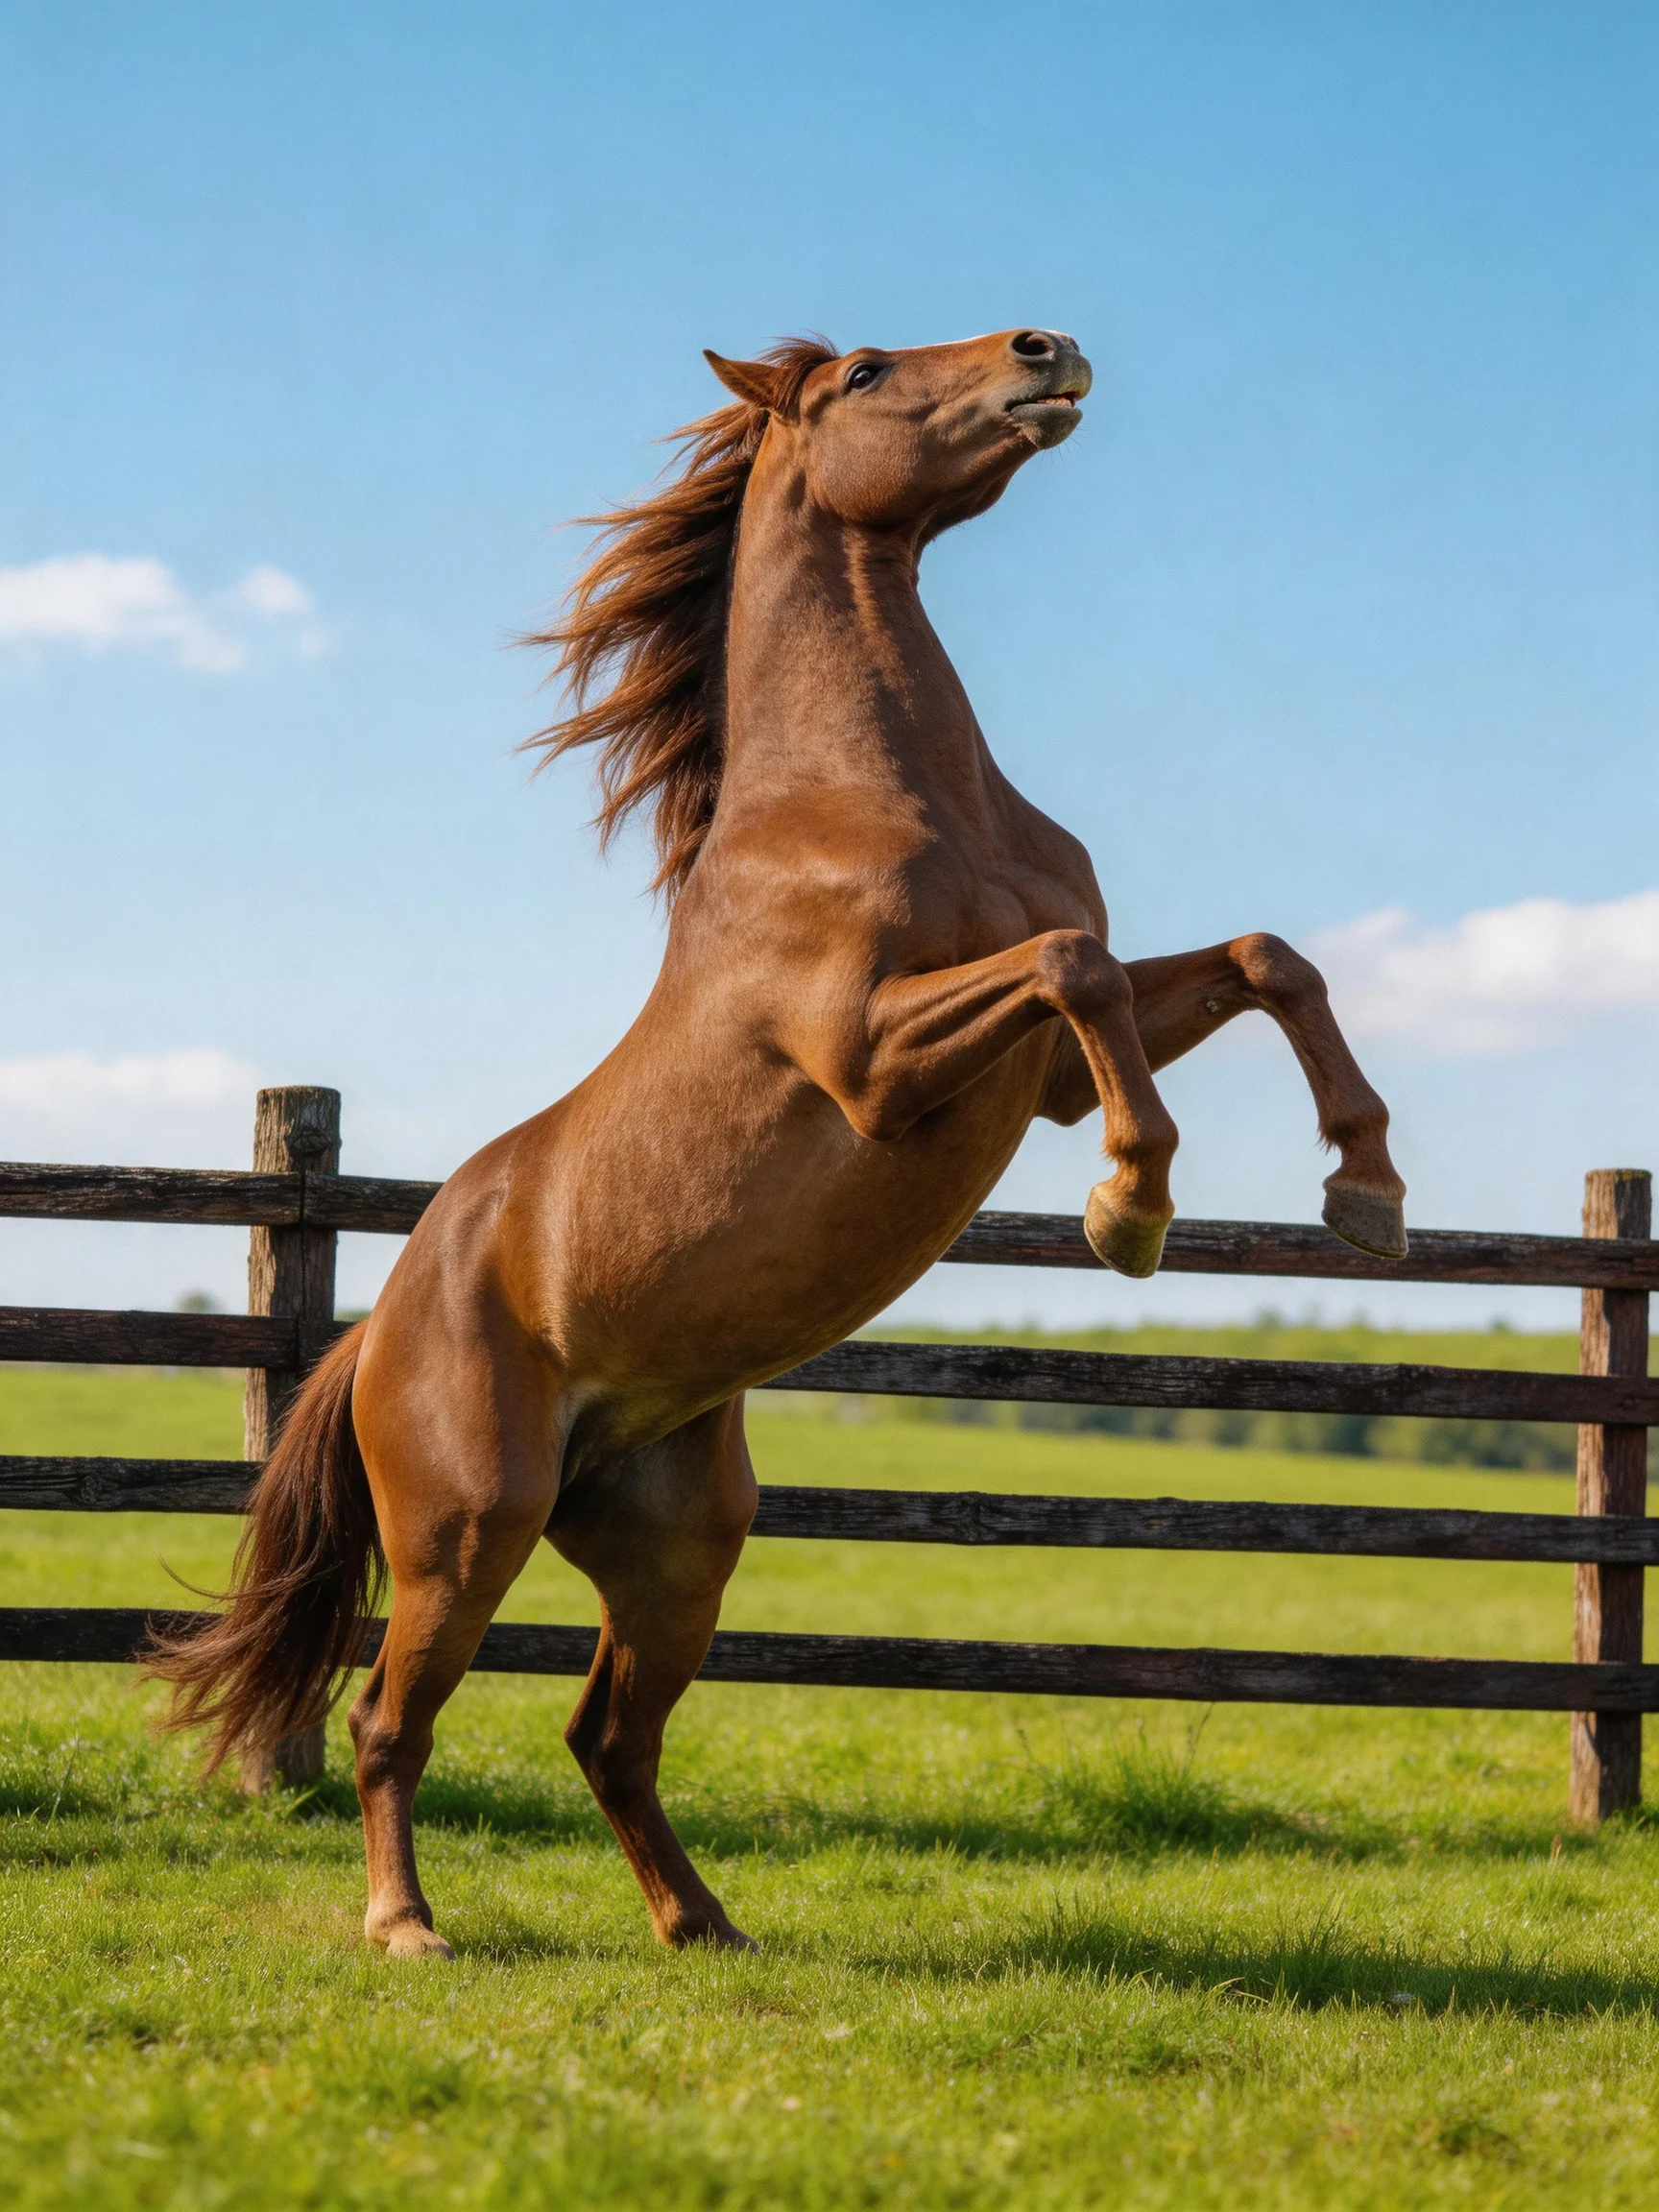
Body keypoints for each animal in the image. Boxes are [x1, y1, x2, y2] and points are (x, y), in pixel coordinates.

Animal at [149, 328, 1407, 1958]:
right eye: (867, 371)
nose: (1049, 349)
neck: (876, 800)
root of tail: (375, 1331)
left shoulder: (1041, 1079)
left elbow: (1260, 957)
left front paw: (1367, 1189)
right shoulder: (877, 1060)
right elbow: (1078, 966)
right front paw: (1129, 1212)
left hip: (681, 1546)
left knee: (607, 1737)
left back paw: (704, 1928)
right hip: (467, 1528)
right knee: (387, 1722)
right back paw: (409, 1926)